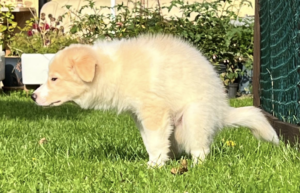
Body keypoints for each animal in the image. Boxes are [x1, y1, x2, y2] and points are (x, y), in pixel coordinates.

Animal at [31, 34, 278, 166]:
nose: (33, 96)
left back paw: (195, 166)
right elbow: (150, 140)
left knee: (201, 149)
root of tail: (222, 112)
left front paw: (154, 166)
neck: (115, 69)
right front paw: (154, 162)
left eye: (54, 78)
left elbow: (156, 140)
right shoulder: (140, 115)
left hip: (194, 117)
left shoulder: (153, 110)